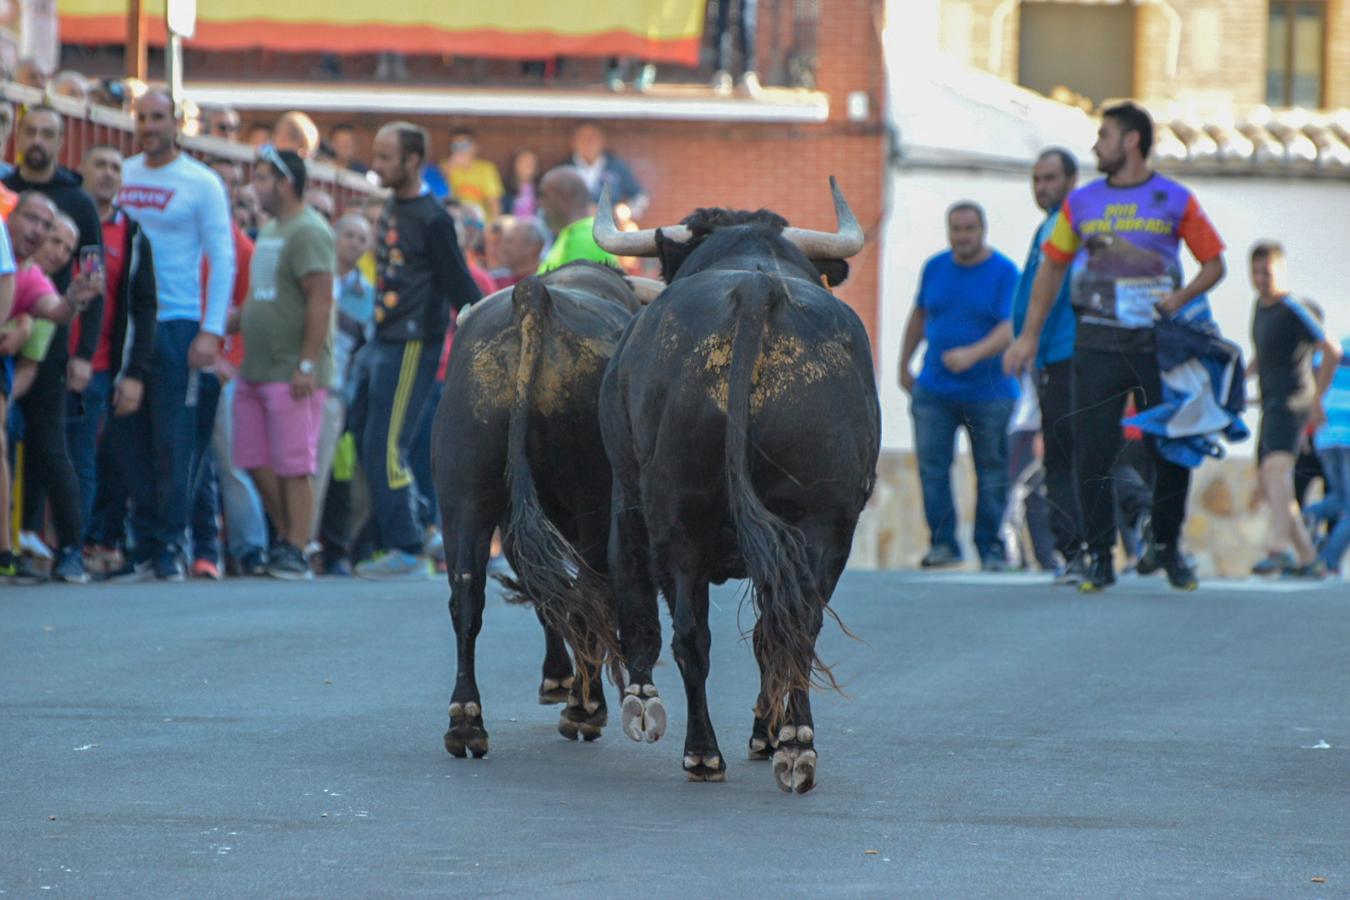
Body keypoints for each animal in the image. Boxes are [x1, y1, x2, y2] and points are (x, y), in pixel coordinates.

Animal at [432, 261, 642, 761]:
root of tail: (533, 297)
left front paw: (556, 677)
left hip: (464, 497)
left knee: (467, 595)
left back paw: (466, 721)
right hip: (590, 501)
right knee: (591, 592)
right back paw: (586, 708)